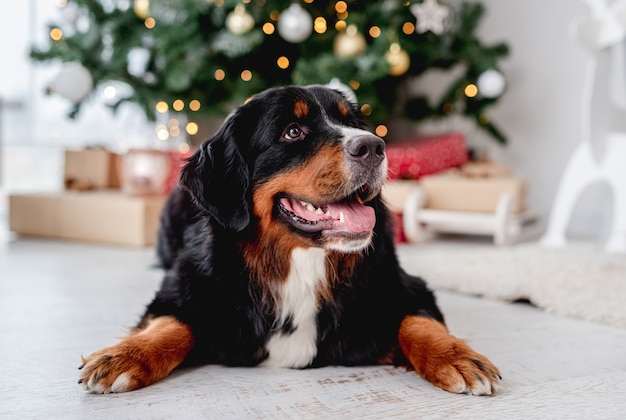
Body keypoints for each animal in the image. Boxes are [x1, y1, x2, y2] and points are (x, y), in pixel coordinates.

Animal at [78, 84, 500, 394]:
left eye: (352, 122)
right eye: (293, 131)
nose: (374, 146)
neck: (299, 263)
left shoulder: (405, 286)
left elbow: (418, 322)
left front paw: (457, 357)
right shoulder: (181, 287)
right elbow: (172, 324)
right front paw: (125, 356)